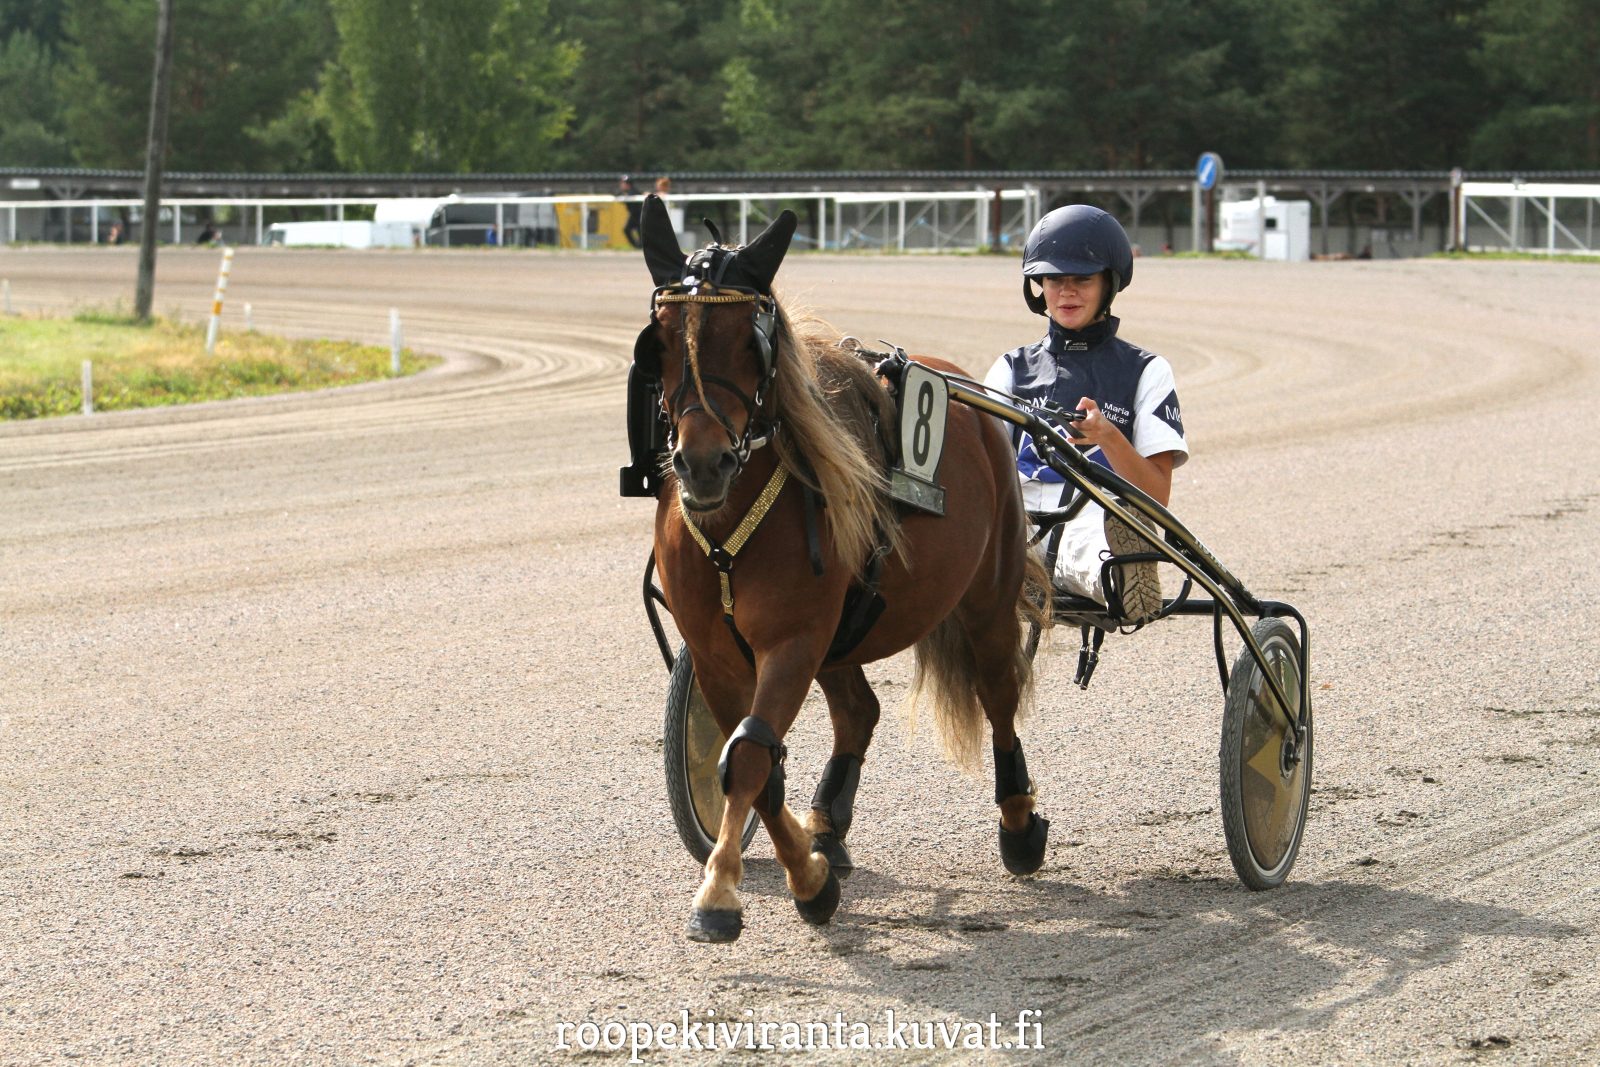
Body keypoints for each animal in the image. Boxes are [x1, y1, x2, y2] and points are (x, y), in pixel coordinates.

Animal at [636, 194, 1049, 940]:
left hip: (986, 597)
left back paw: (1020, 825)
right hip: (844, 634)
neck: (731, 527)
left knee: (998, 692)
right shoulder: (717, 654)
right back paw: (828, 825)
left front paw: (726, 891)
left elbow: (749, 753)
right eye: (660, 338)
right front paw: (809, 869)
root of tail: (969, 397)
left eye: (751, 341)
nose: (703, 463)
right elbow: (754, 762)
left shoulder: (794, 639)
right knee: (859, 710)